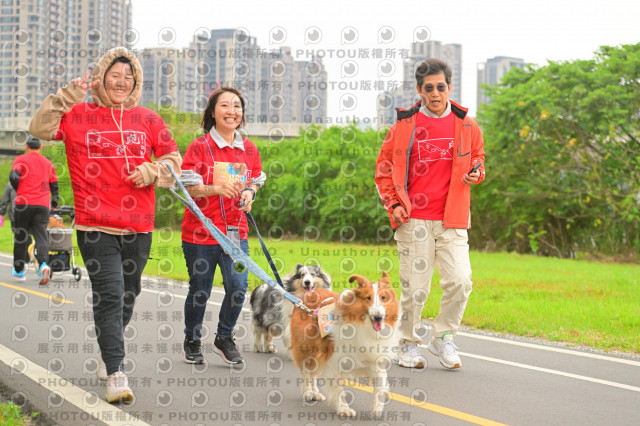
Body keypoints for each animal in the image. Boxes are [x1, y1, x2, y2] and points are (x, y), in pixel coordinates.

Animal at [289, 271, 399, 419]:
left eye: (383, 297)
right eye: (368, 298)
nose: (378, 317)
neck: (363, 326)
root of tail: (311, 293)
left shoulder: (373, 361)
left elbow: (381, 385)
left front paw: (377, 408)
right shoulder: (332, 362)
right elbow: (338, 389)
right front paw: (344, 408)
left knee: (313, 375)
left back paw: (316, 393)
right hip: (307, 348)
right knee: (306, 372)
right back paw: (308, 392)